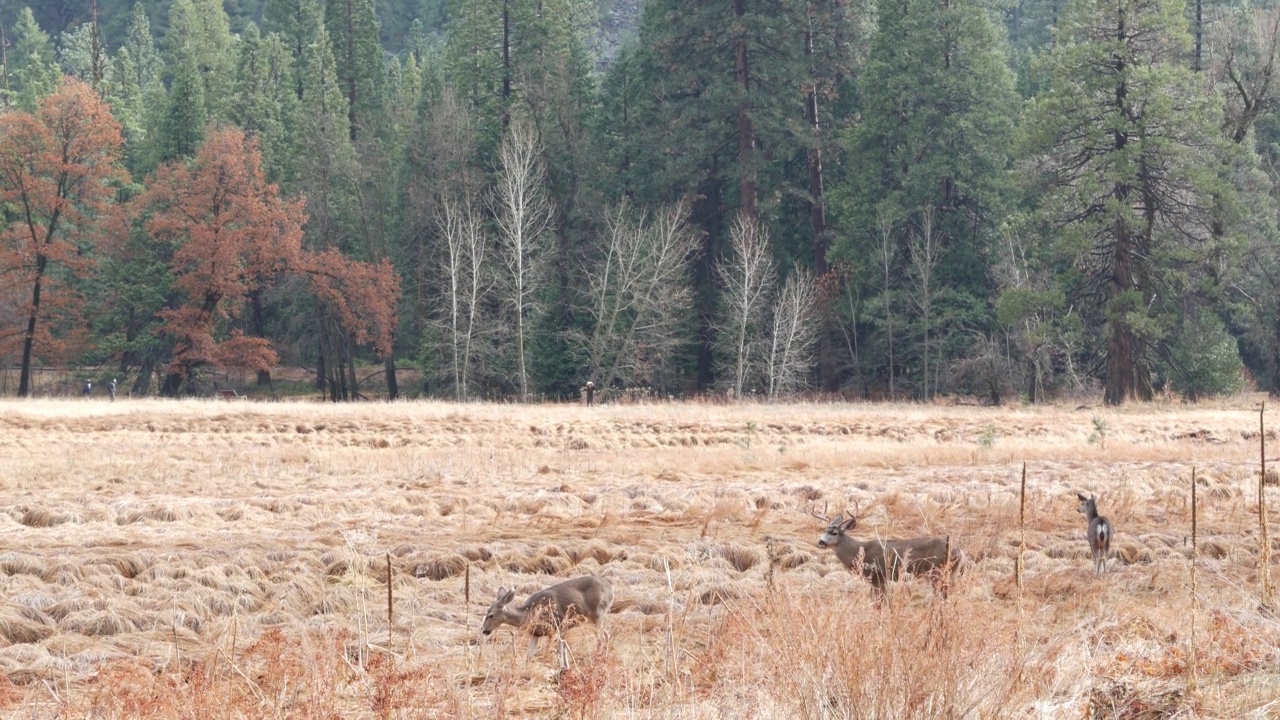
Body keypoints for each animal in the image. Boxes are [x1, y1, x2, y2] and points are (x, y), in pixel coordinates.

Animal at [481, 573, 616, 661]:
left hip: (598, 613)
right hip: (591, 619)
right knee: (607, 635)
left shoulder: (556, 626)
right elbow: (529, 656)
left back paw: (597, 657)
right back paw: (604, 657)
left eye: (491, 615)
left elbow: (555, 650)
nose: (483, 630)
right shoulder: (535, 634)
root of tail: (610, 588)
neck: (529, 614)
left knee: (601, 638)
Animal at [814, 502, 962, 597]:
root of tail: (959, 552)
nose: (821, 542)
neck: (859, 552)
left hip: (937, 571)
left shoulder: (878, 576)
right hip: (949, 573)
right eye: (824, 530)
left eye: (834, 533)